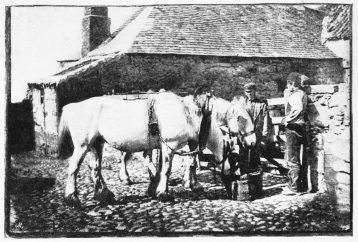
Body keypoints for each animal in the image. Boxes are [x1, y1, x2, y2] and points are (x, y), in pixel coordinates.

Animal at [58, 91, 227, 206]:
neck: (187, 113)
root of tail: (71, 107)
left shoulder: (172, 145)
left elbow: (185, 164)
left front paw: (193, 185)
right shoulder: (170, 145)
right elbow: (167, 169)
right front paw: (163, 193)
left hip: (96, 144)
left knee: (95, 167)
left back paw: (104, 194)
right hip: (83, 145)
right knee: (74, 167)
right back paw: (72, 197)